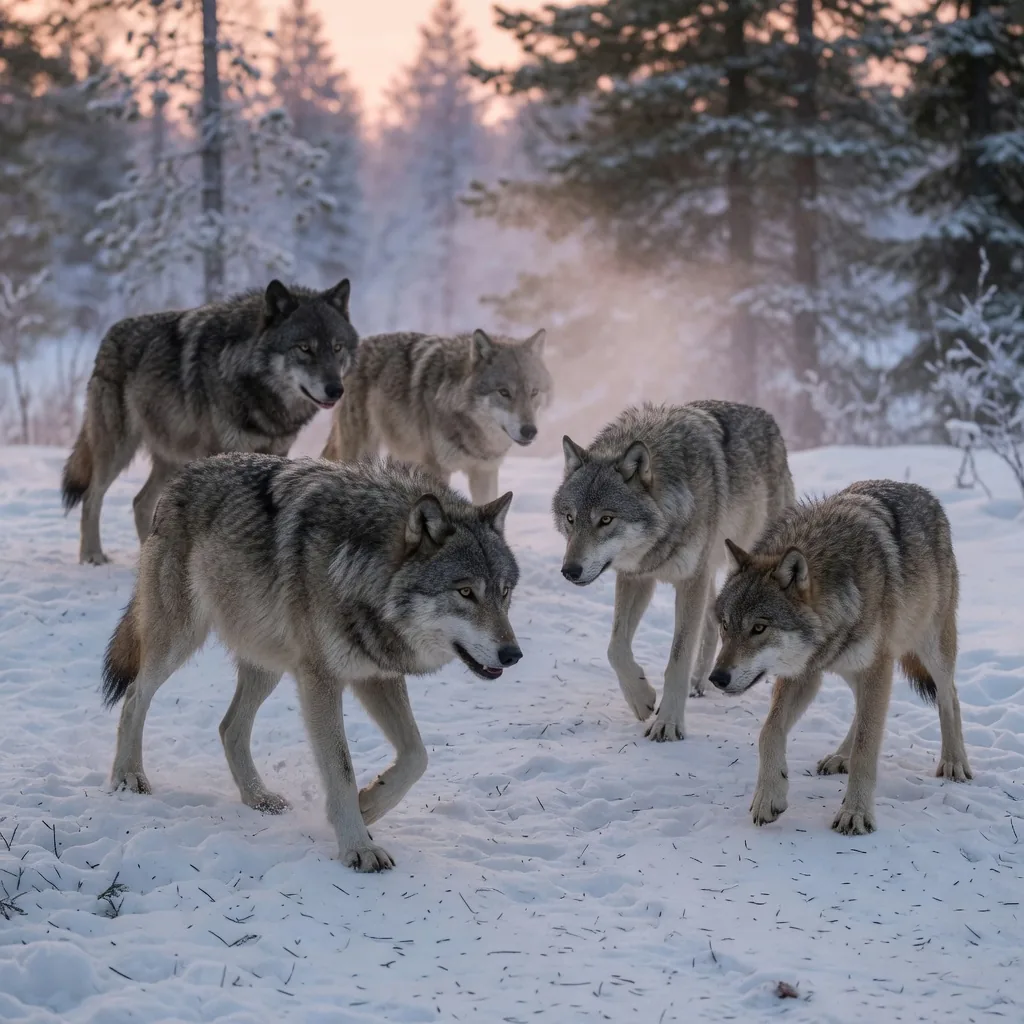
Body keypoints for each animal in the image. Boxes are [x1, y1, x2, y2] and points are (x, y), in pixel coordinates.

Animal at [61, 278, 358, 565]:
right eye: (305, 348)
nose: (336, 390)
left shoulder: (277, 452)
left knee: (140, 502)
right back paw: (92, 555)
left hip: (171, 458)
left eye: (337, 348)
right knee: (92, 497)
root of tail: (110, 334)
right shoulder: (222, 452)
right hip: (118, 450)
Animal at [101, 453, 522, 872]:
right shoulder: (321, 679)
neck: (360, 568)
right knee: (135, 696)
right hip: (180, 640)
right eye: (465, 592)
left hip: (268, 663)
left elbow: (417, 756)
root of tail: (183, 474)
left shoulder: (376, 674)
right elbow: (341, 768)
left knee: (229, 727)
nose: (513, 654)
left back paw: (258, 797)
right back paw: (128, 776)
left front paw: (368, 805)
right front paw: (358, 847)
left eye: (504, 593)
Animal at [321, 328, 553, 504]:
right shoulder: (436, 469)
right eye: (504, 392)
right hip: (362, 451)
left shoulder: (484, 471)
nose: (530, 431)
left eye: (533, 392)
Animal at [552, 401, 795, 741]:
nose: (570, 571)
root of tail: (768, 417)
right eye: (570, 518)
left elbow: (678, 659)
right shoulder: (637, 577)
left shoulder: (691, 580)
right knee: (711, 621)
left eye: (606, 519)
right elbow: (616, 648)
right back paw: (700, 682)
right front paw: (642, 699)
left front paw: (667, 723)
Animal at [710, 479, 972, 836]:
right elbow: (769, 732)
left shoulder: (877, 667)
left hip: (931, 649)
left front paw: (856, 813)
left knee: (950, 697)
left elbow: (866, 746)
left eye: (759, 628)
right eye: (725, 625)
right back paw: (839, 756)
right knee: (861, 711)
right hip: (852, 669)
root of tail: (923, 492)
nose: (716, 678)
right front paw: (768, 796)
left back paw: (954, 761)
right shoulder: (804, 672)